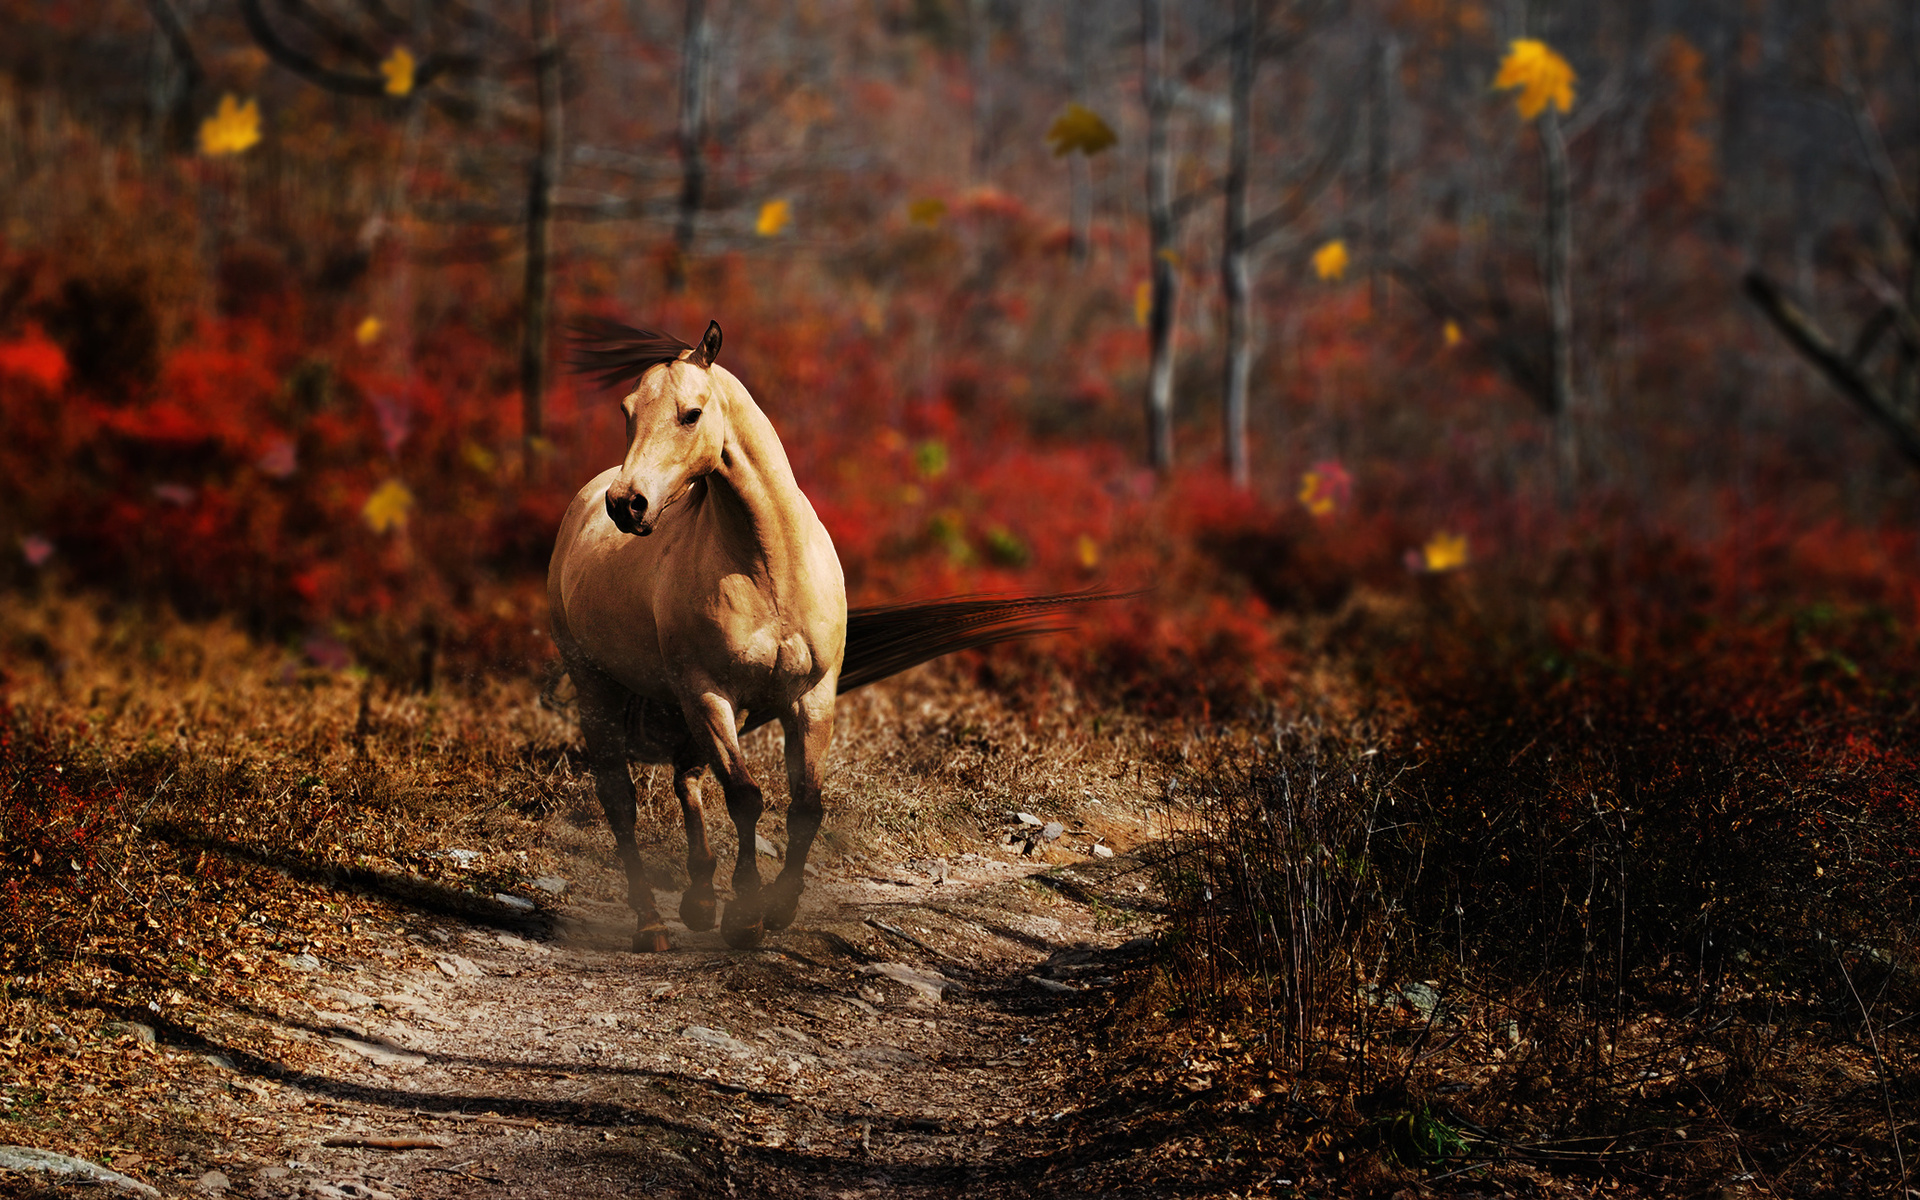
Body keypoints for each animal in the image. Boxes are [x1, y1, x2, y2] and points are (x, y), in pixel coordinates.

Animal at [552, 320, 1098, 956]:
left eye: (691, 414)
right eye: (627, 411)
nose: (627, 504)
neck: (769, 565)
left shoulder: (809, 695)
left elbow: (806, 805)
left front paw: (778, 908)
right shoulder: (711, 693)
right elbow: (745, 797)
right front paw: (746, 916)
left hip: (684, 699)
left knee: (686, 777)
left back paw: (698, 902)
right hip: (605, 687)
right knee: (621, 799)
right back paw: (652, 925)